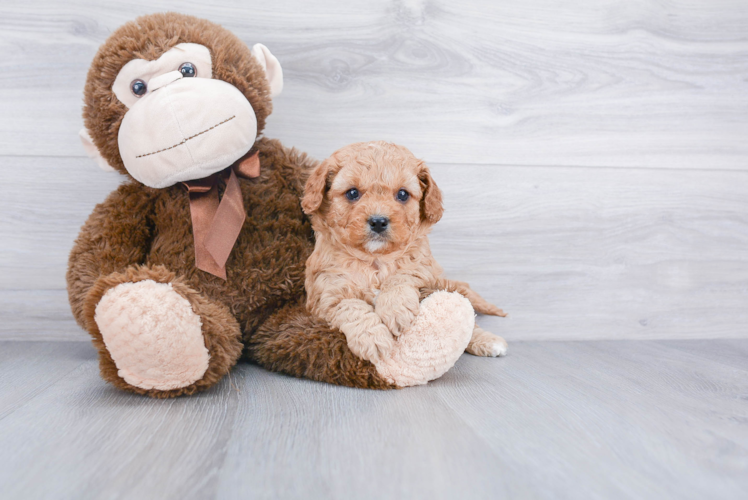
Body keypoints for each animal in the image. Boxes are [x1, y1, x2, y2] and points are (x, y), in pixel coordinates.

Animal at [300, 141, 508, 364]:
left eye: (402, 194)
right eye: (352, 193)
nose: (378, 221)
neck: (376, 259)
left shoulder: (424, 268)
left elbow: (402, 275)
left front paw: (395, 309)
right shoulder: (324, 296)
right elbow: (350, 306)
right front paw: (373, 339)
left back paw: (489, 341)